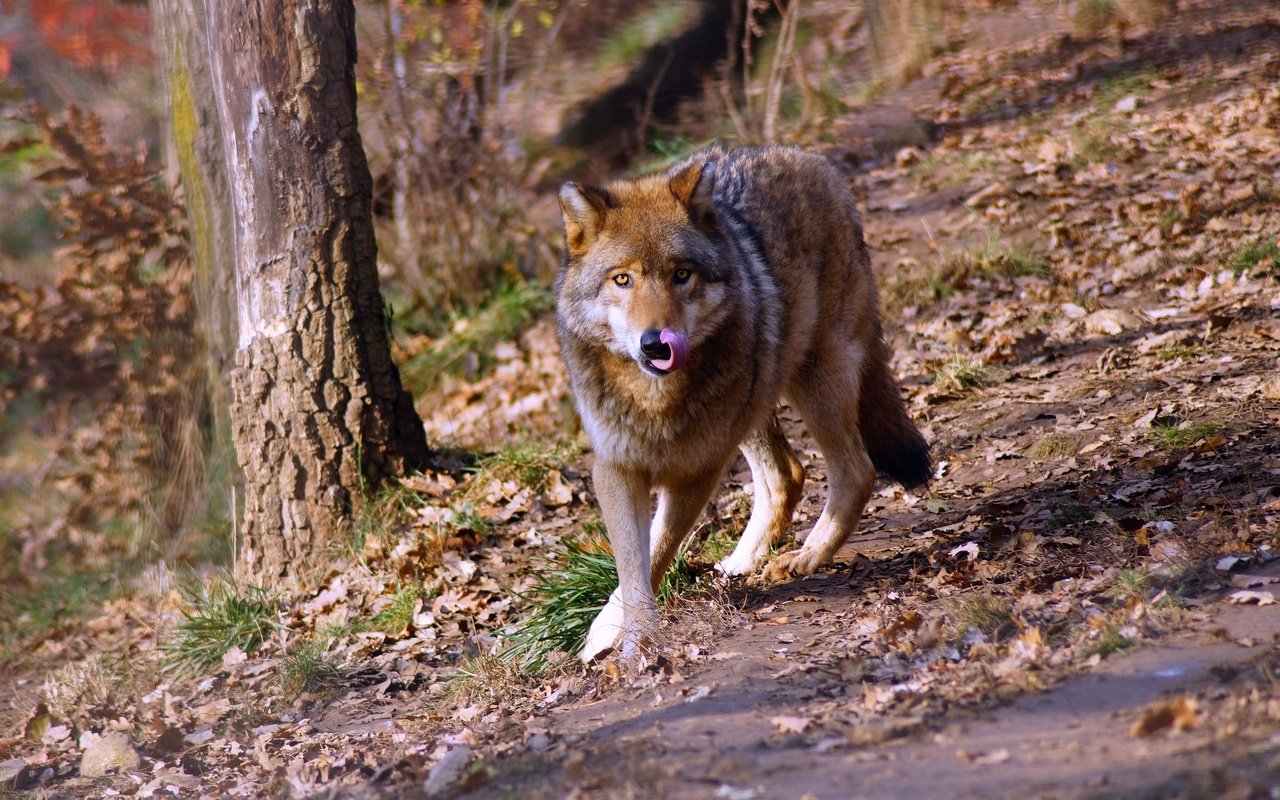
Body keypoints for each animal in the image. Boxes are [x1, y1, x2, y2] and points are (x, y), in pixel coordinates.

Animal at [552, 145, 931, 660]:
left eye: (681, 275)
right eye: (623, 279)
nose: (656, 344)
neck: (654, 401)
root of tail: (808, 158)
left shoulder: (698, 471)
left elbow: (657, 549)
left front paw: (631, 640)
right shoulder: (615, 469)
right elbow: (633, 565)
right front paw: (617, 634)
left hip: (814, 381)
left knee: (855, 469)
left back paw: (805, 556)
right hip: (757, 403)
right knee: (788, 474)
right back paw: (741, 562)